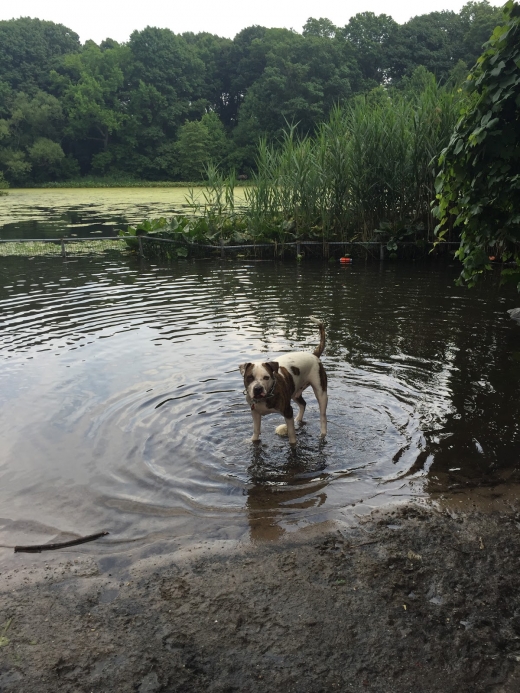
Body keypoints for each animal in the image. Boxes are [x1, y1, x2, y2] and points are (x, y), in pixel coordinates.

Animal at [239, 318, 328, 446]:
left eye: (266, 377)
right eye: (250, 377)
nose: (258, 389)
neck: (266, 396)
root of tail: (314, 356)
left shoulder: (288, 411)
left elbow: (291, 435)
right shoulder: (255, 413)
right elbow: (256, 431)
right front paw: (253, 440)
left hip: (321, 392)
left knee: (323, 416)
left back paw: (322, 434)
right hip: (295, 392)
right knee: (303, 404)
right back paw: (298, 419)